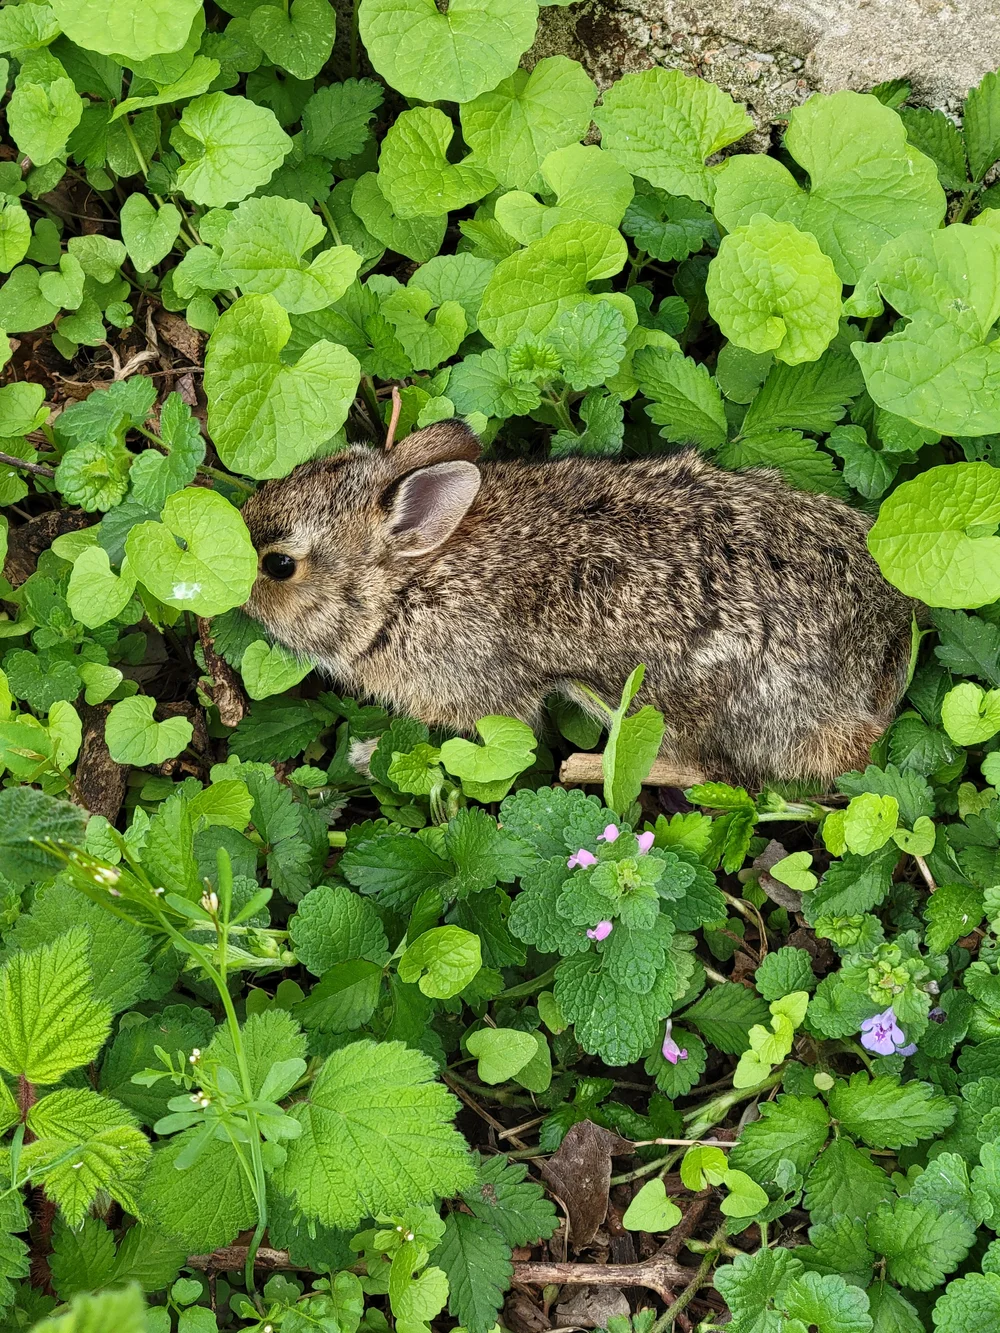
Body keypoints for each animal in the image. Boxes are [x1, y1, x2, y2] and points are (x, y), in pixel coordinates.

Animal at [239, 420, 915, 789]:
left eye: (279, 565)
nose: (236, 589)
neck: (402, 587)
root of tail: (881, 649)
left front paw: (365, 756)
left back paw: (583, 770)